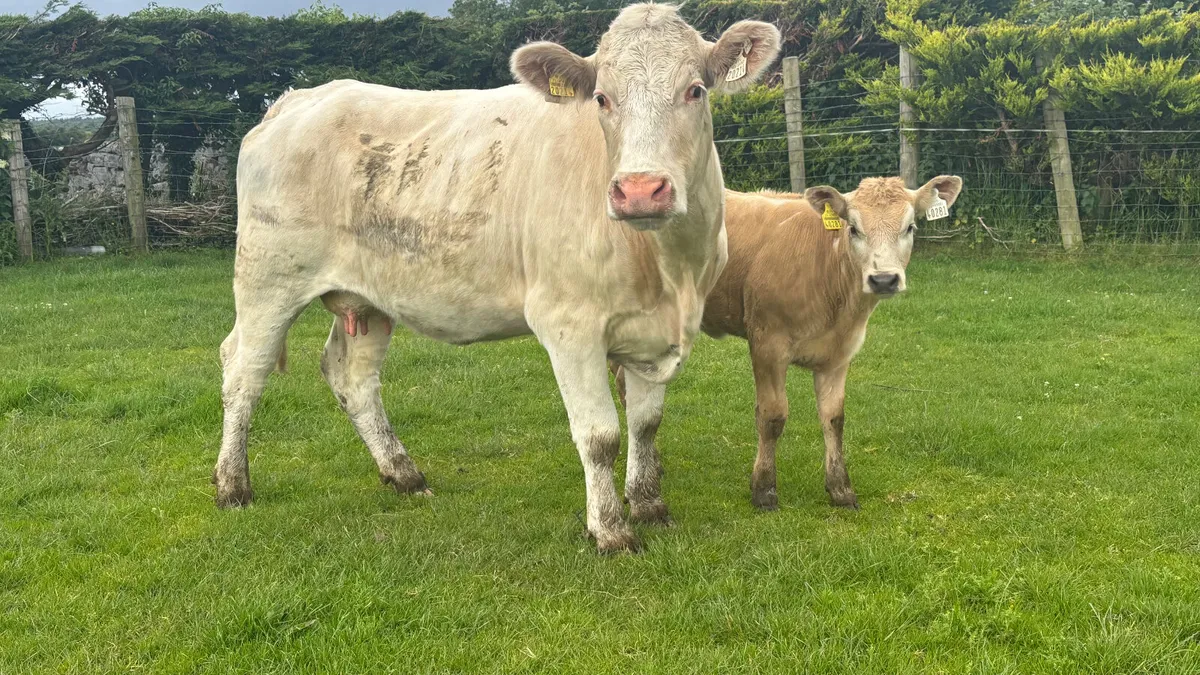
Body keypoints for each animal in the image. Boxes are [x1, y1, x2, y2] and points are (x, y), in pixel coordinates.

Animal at [213, 3, 781, 553]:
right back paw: (232, 486)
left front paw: (648, 505)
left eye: (696, 90)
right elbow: (600, 435)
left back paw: (404, 474)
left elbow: (645, 424)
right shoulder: (568, 324)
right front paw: (610, 531)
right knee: (244, 369)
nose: (640, 190)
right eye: (601, 98)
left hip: (368, 297)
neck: (667, 269)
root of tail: (302, 98)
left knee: (351, 376)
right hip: (268, 278)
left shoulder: (655, 332)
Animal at [614, 176, 963, 510]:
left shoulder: (840, 353)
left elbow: (834, 418)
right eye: (853, 228)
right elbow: (773, 416)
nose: (884, 280)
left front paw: (841, 489)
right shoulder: (767, 344)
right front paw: (764, 489)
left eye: (910, 227)